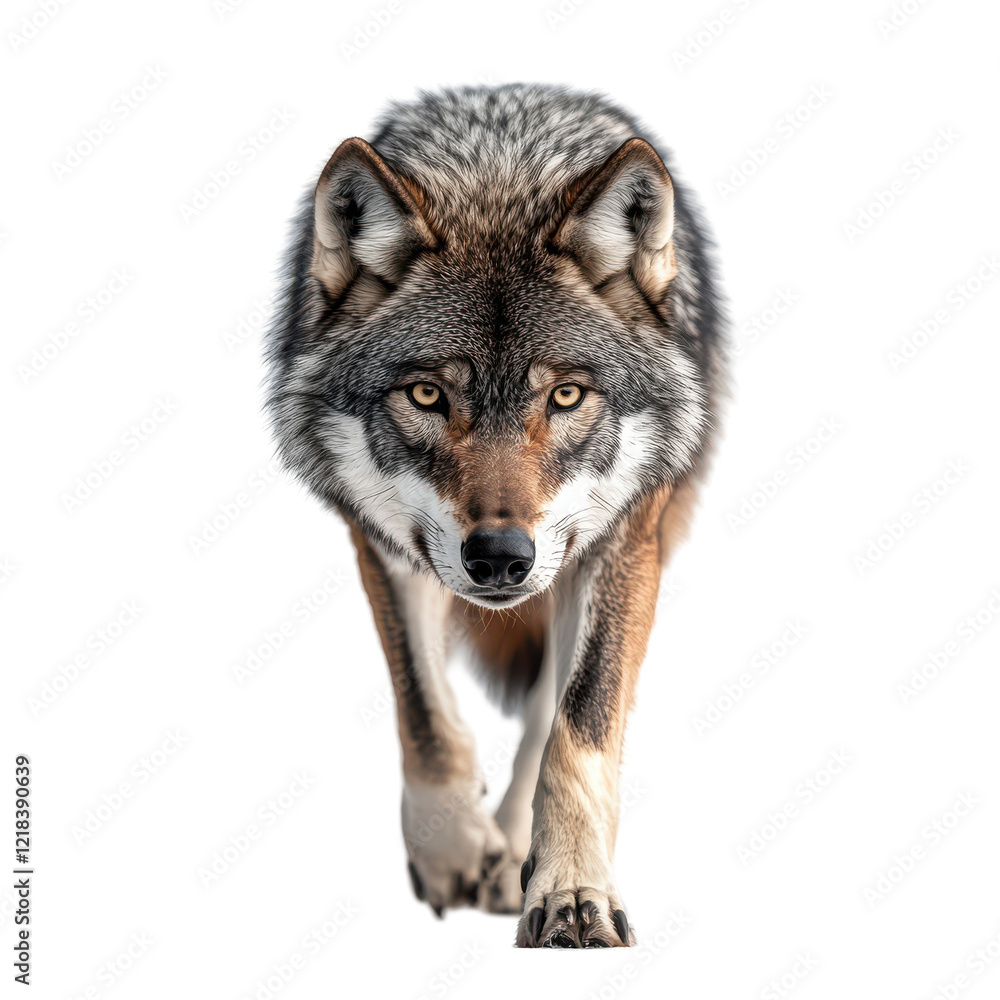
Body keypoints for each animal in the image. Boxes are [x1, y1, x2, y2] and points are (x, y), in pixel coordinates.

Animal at [265, 83, 727, 948]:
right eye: (426, 395)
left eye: (567, 395)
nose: (501, 557)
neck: (498, 175)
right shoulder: (384, 541)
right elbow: (424, 714)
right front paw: (449, 849)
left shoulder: (625, 535)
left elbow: (578, 724)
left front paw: (571, 892)